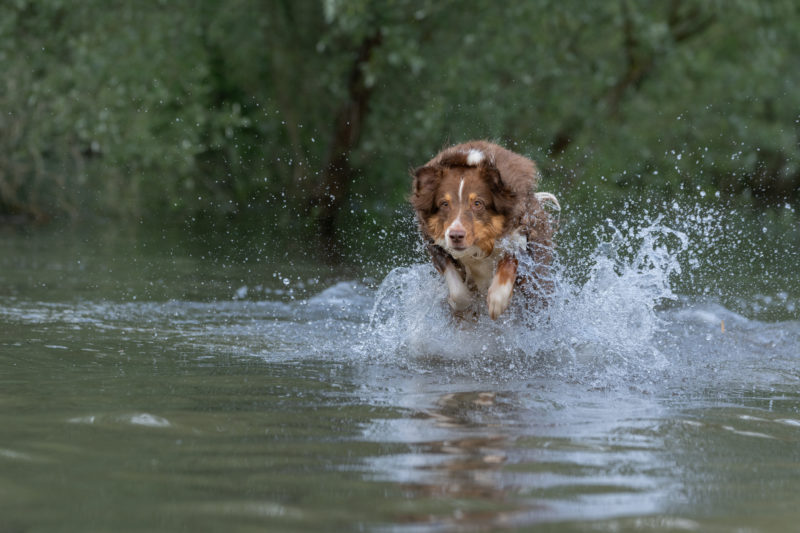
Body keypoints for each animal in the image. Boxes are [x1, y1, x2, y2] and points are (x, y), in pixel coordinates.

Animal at [410, 139, 560, 318]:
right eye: (444, 204)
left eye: (478, 203)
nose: (456, 235)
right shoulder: (435, 243)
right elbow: (457, 289)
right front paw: (462, 301)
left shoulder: (519, 232)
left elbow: (510, 259)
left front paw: (497, 300)